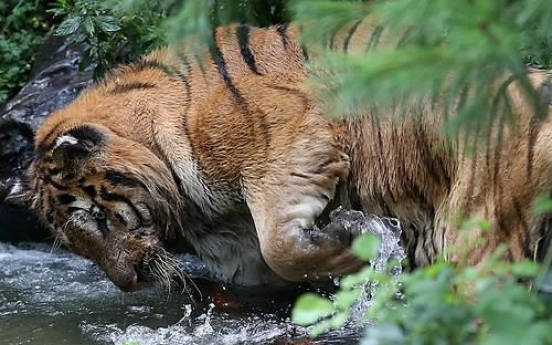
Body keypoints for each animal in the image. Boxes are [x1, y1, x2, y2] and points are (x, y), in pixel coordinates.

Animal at [7, 19, 552, 292]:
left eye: (99, 217)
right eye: (76, 243)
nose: (129, 282)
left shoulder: (291, 145)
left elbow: (283, 247)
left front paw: (352, 248)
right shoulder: (235, 252)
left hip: (478, 244)